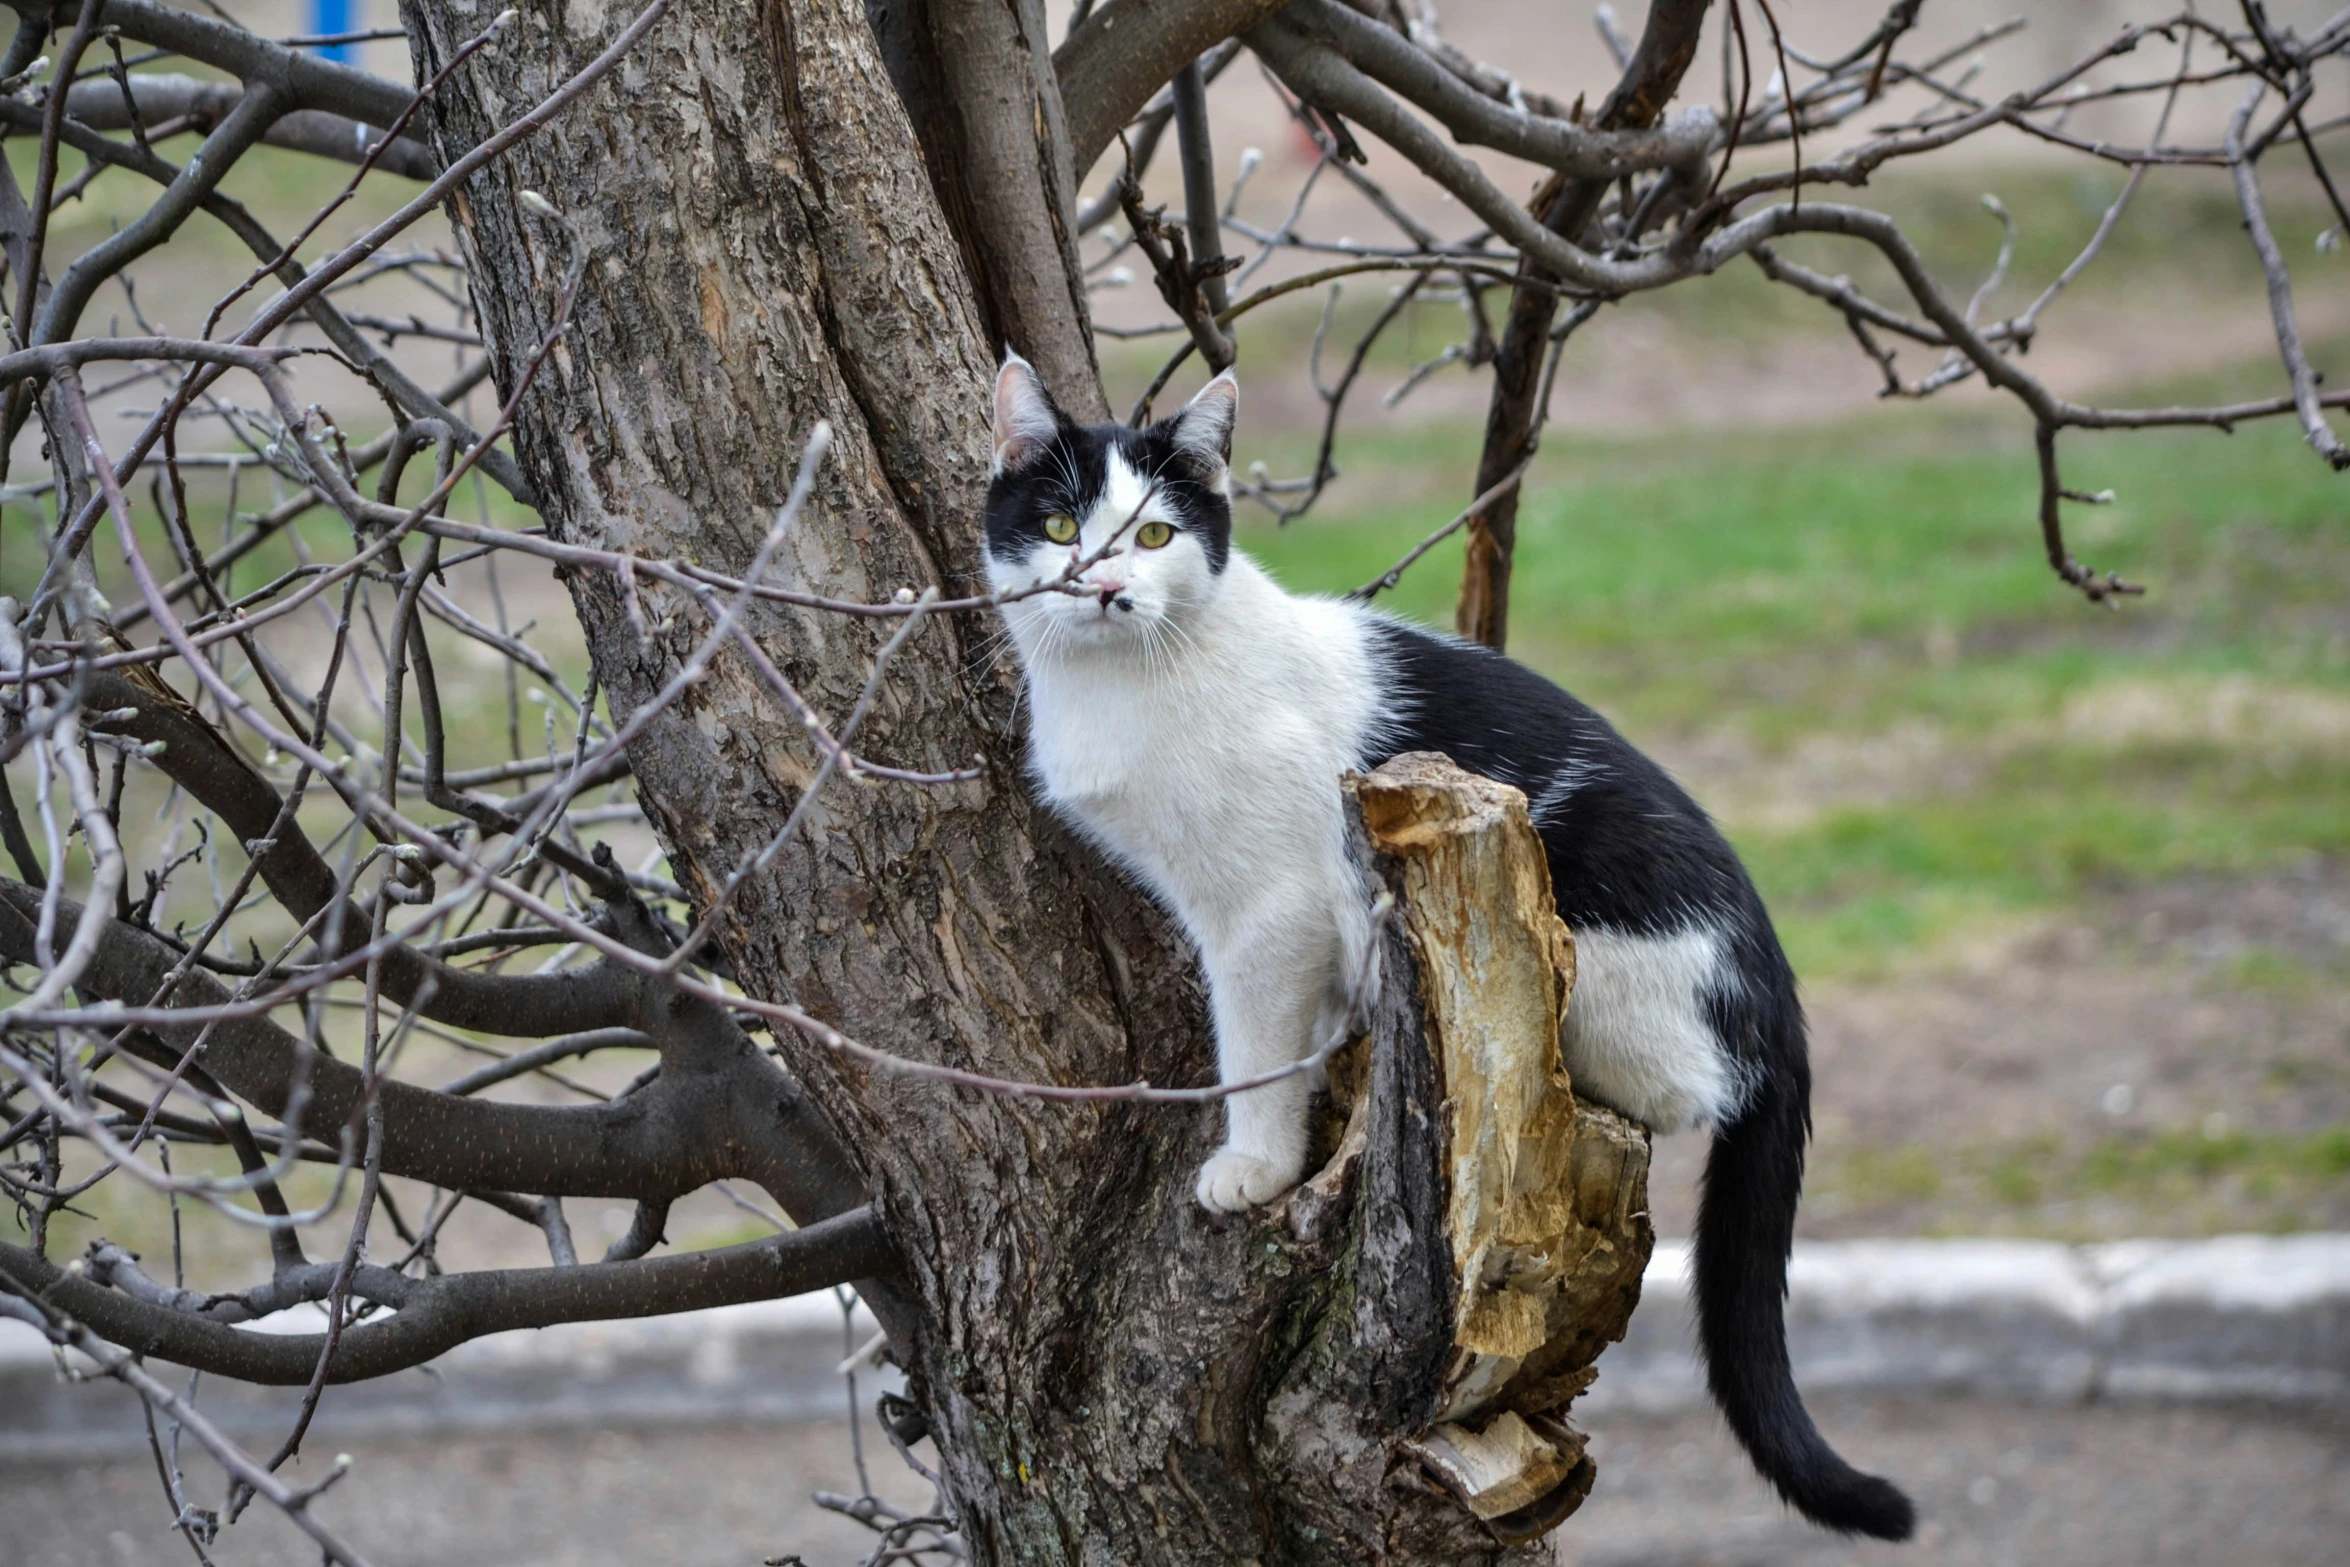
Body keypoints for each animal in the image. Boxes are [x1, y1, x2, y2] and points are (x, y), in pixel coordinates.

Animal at [982, 354, 1917, 1541]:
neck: (1130, 681)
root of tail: (1773, 981)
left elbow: (1256, 1042)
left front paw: (1255, 1162)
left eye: (1152, 535)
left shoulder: (1273, 909)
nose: (1105, 588)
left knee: (1683, 1086)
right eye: (1061, 525)